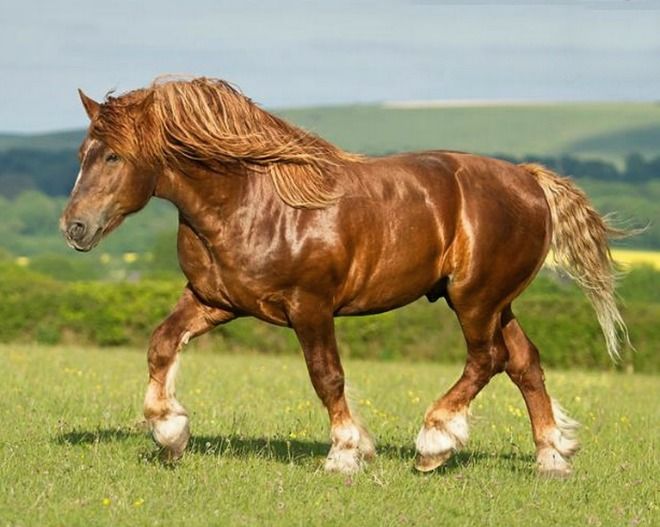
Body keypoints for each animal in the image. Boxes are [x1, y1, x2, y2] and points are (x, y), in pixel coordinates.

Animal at [60, 78, 628, 478]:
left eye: (113, 155)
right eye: (81, 154)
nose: (74, 228)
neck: (249, 202)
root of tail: (528, 180)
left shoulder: (310, 306)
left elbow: (326, 376)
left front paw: (346, 454)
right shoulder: (212, 301)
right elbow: (160, 344)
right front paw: (170, 433)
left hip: (474, 299)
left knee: (487, 358)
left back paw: (435, 443)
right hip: (495, 301)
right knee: (524, 362)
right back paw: (551, 457)